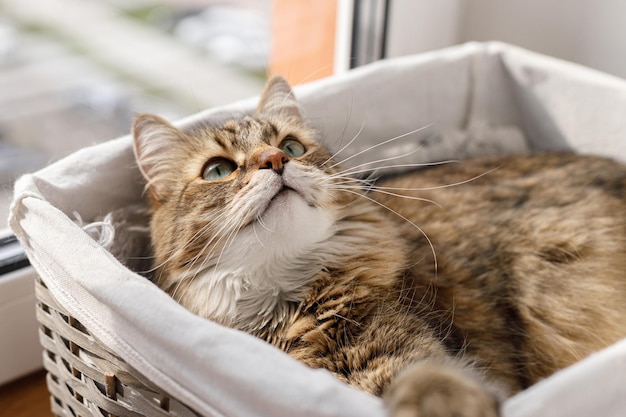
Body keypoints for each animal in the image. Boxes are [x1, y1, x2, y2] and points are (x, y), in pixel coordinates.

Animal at [132, 76, 624, 416]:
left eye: (291, 146)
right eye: (217, 170)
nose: (275, 160)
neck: (284, 299)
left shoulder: (410, 354)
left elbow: (430, 381)